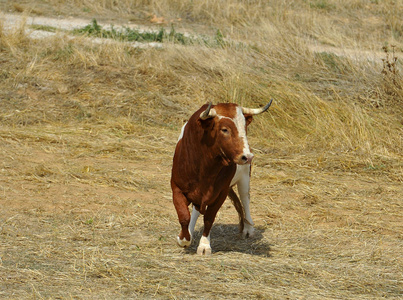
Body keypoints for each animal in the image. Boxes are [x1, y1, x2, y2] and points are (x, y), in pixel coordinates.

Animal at [172, 101, 274, 255]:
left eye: (244, 128)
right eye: (225, 129)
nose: (247, 156)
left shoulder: (221, 192)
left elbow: (209, 217)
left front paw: (204, 245)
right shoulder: (177, 188)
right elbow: (184, 216)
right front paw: (184, 239)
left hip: (245, 178)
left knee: (245, 199)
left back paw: (248, 229)